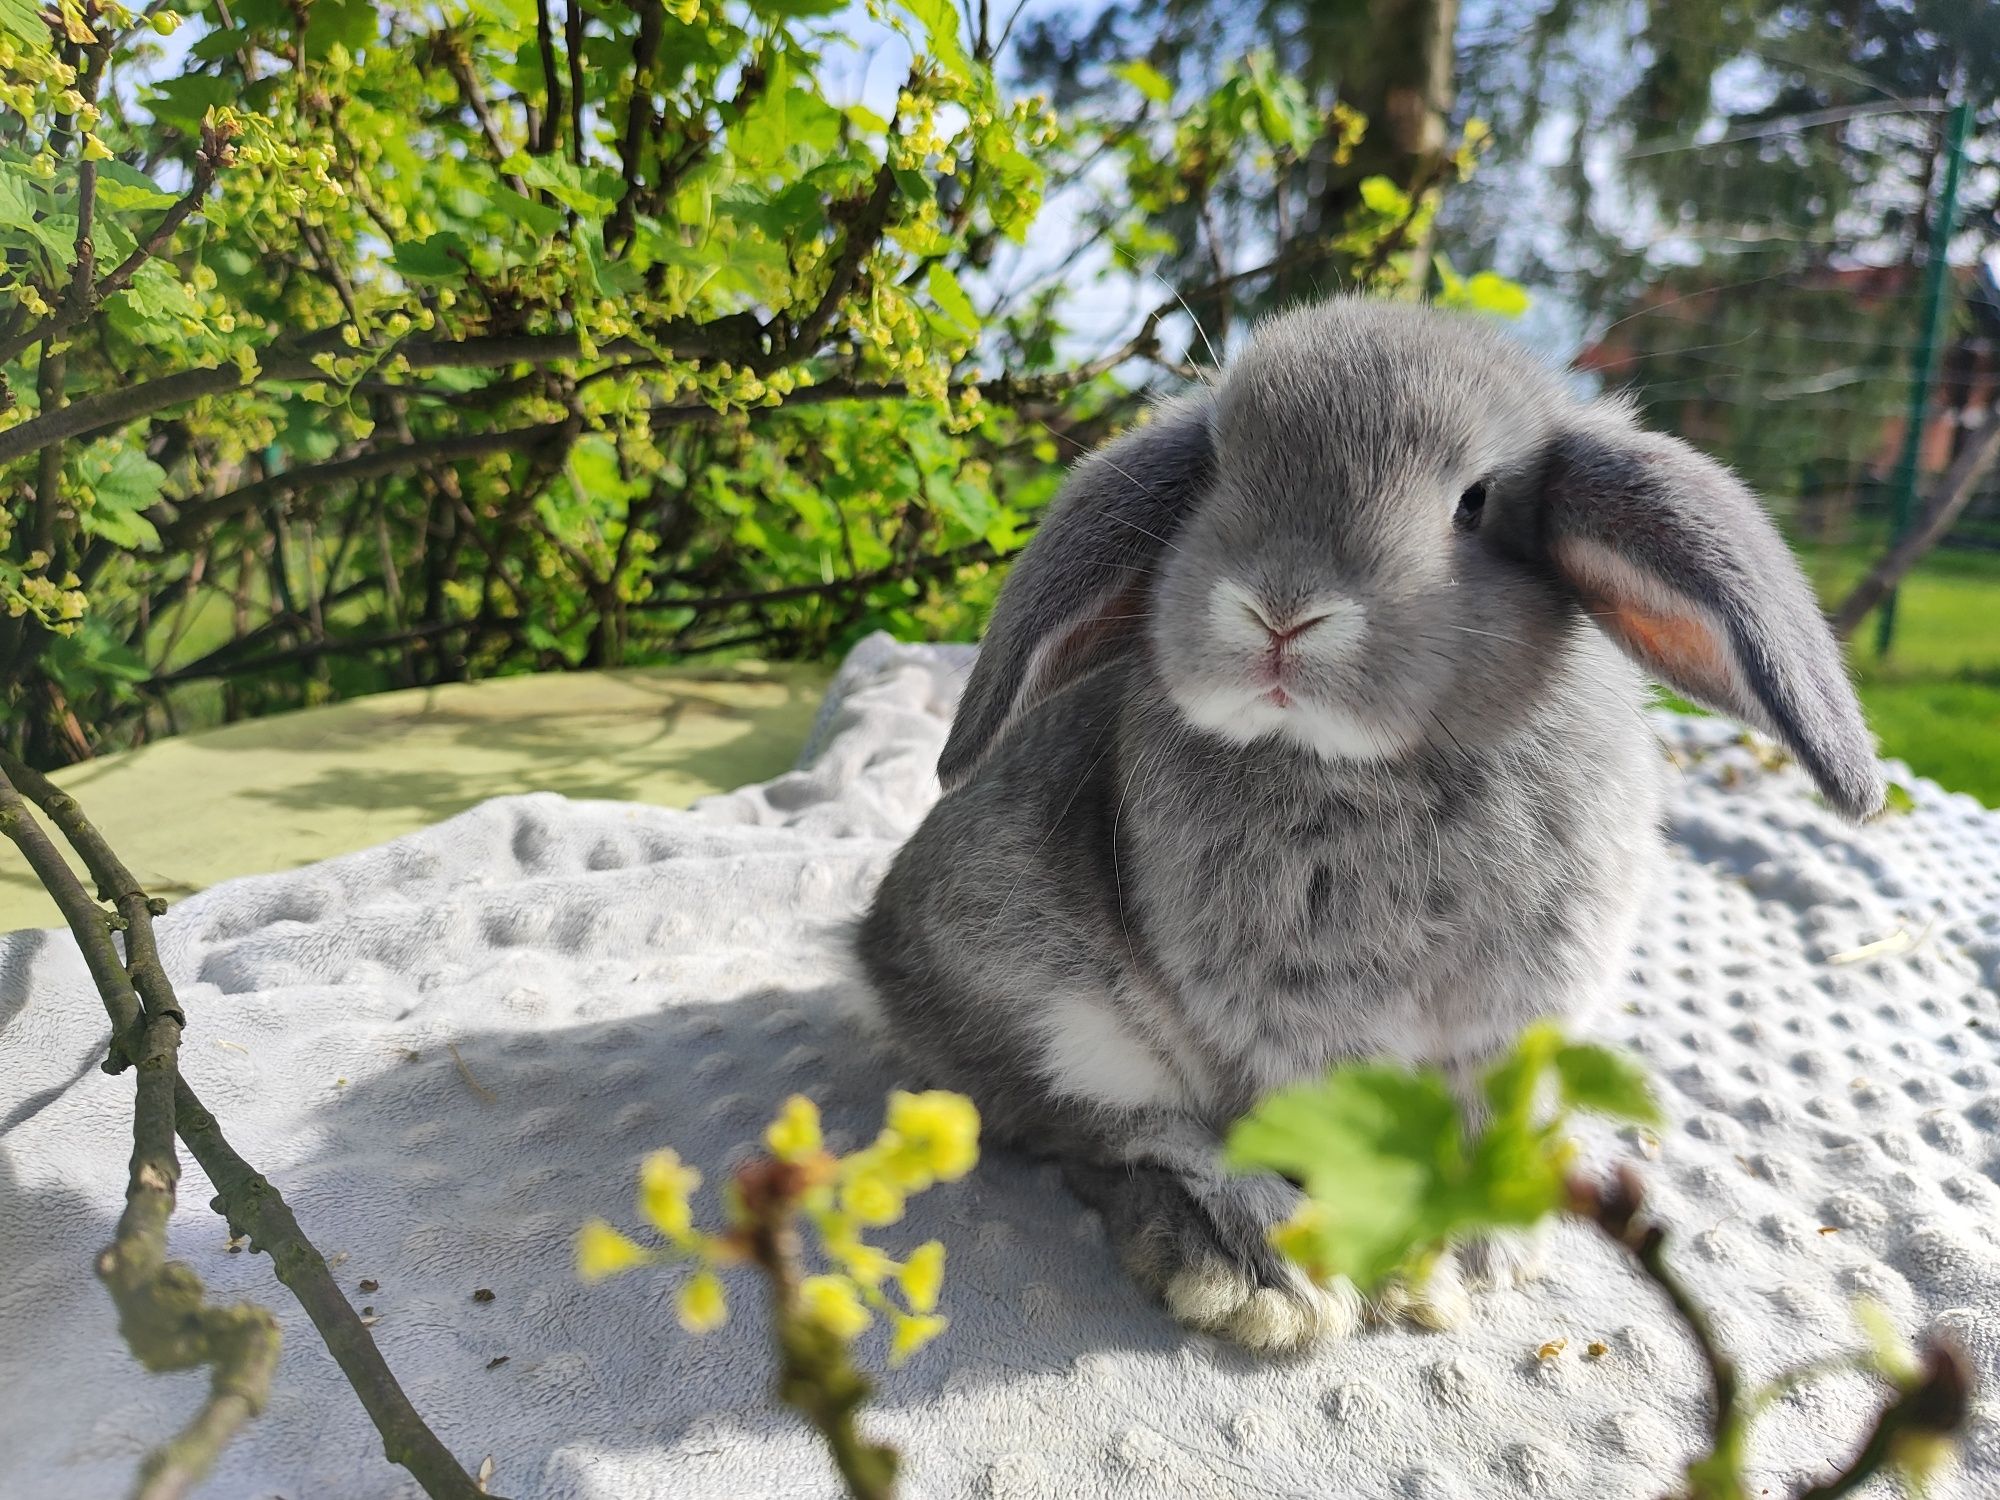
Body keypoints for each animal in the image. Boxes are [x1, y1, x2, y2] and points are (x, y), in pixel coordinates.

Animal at [856, 294, 1872, 1352]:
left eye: (1475, 502)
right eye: (1217, 472)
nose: (1280, 610)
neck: (1371, 767)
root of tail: (871, 955)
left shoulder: (1506, 1030)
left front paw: (1486, 1243)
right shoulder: (1304, 1033)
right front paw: (1399, 1269)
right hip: (1045, 993)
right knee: (1118, 1134)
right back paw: (1256, 1267)